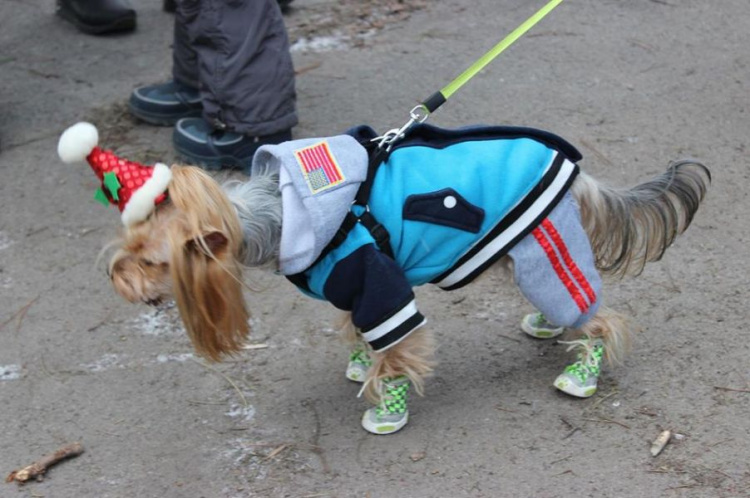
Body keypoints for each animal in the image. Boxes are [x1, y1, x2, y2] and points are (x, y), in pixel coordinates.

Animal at [58, 121, 712, 436]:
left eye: (152, 261)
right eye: (128, 243)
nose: (118, 278)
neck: (281, 210)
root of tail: (579, 175)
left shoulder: (377, 280)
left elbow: (396, 349)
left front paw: (386, 407)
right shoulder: (349, 283)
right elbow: (355, 329)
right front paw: (357, 363)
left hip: (539, 245)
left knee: (596, 313)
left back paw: (583, 370)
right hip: (520, 247)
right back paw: (549, 327)